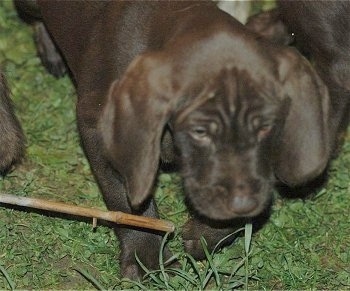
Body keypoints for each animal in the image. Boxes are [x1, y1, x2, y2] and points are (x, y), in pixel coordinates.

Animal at [14, 1, 330, 280]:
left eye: (266, 128)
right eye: (201, 131)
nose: (242, 203)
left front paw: (206, 233)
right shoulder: (99, 132)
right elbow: (128, 202)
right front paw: (146, 257)